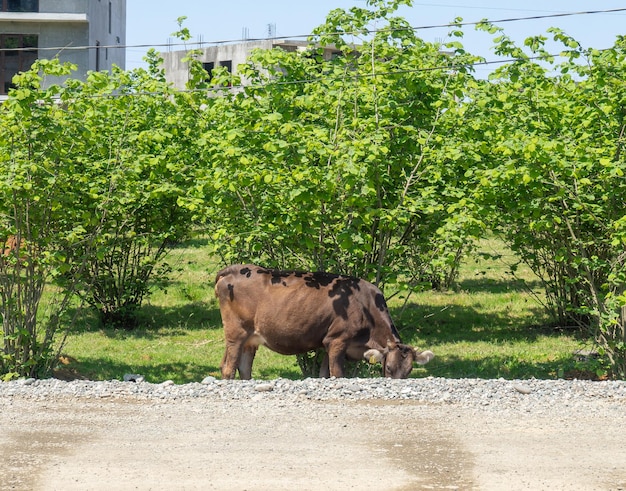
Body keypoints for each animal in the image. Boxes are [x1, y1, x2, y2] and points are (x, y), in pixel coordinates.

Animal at [212, 266, 432, 380]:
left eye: (409, 371)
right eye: (389, 369)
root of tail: (235, 269)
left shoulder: (328, 342)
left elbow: (324, 373)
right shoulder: (338, 340)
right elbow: (337, 373)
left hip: (251, 338)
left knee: (243, 367)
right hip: (236, 332)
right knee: (229, 367)